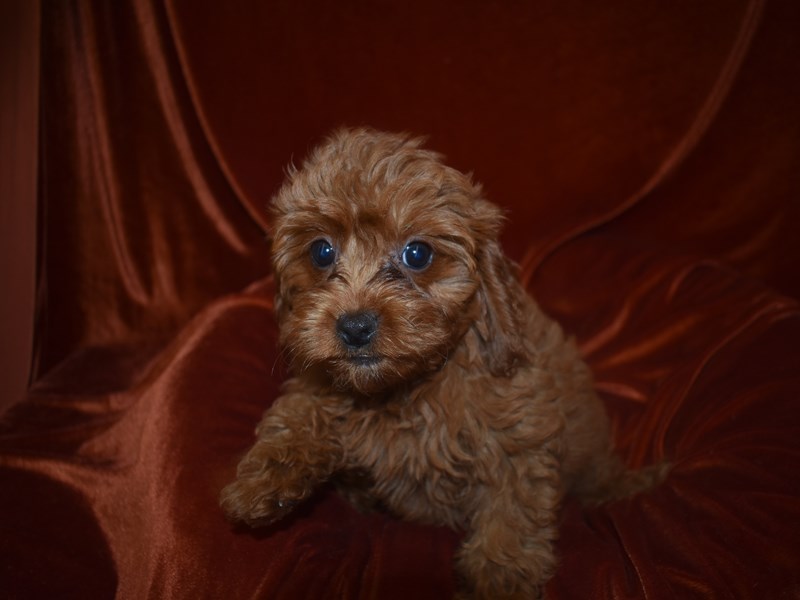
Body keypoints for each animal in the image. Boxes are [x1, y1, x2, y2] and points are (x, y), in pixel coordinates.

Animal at [222, 129, 664, 596]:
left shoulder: (520, 434)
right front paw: (260, 481)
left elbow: (509, 516)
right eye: (322, 252)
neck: (405, 387)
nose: (354, 326)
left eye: (417, 254)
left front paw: (497, 582)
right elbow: (296, 413)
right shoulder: (319, 380)